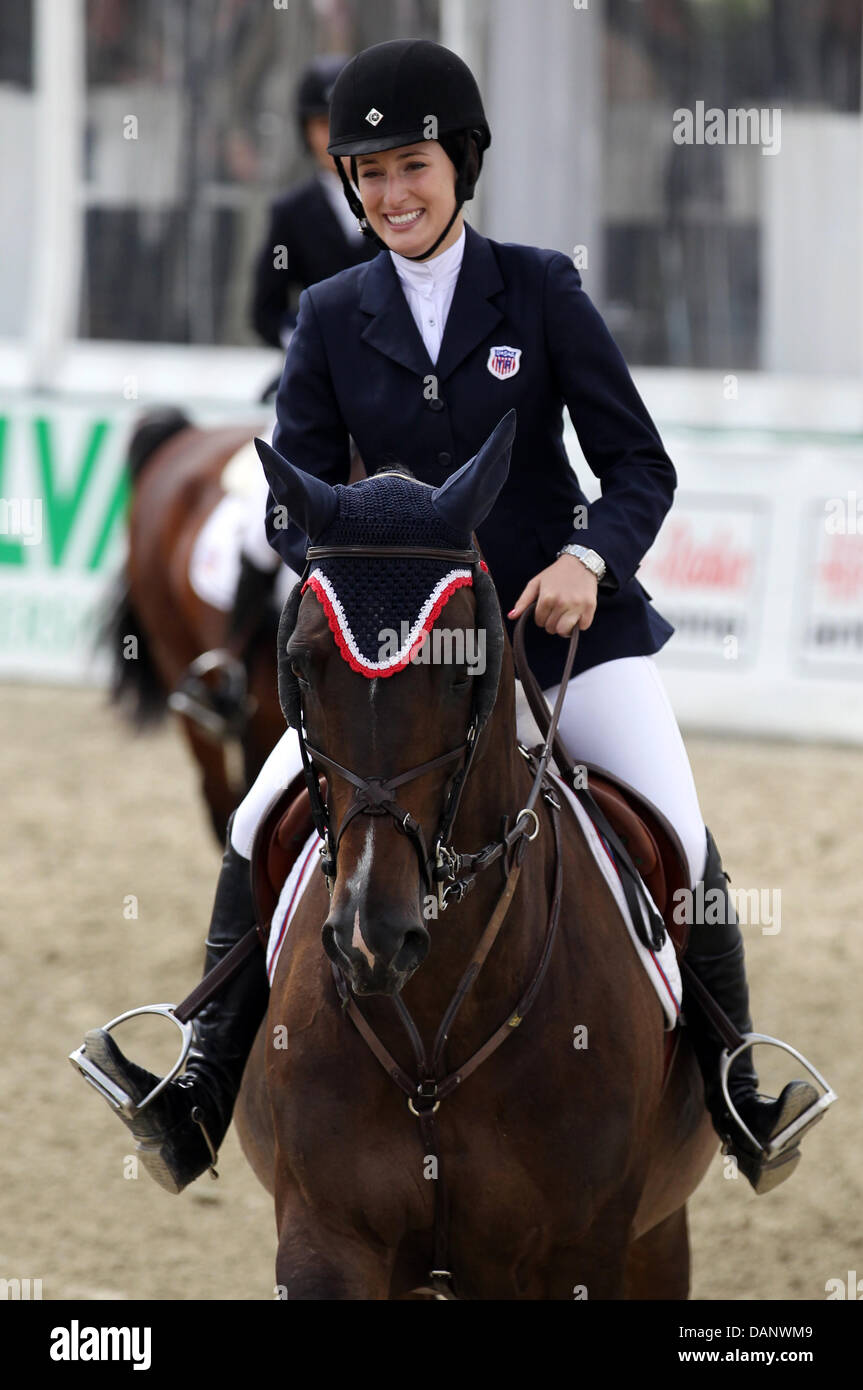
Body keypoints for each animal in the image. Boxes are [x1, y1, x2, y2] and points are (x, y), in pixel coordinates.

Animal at [230, 417, 711, 1295]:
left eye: (461, 669)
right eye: (304, 664)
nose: (371, 940)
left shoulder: (579, 1254)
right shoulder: (327, 1237)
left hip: (653, 1237)